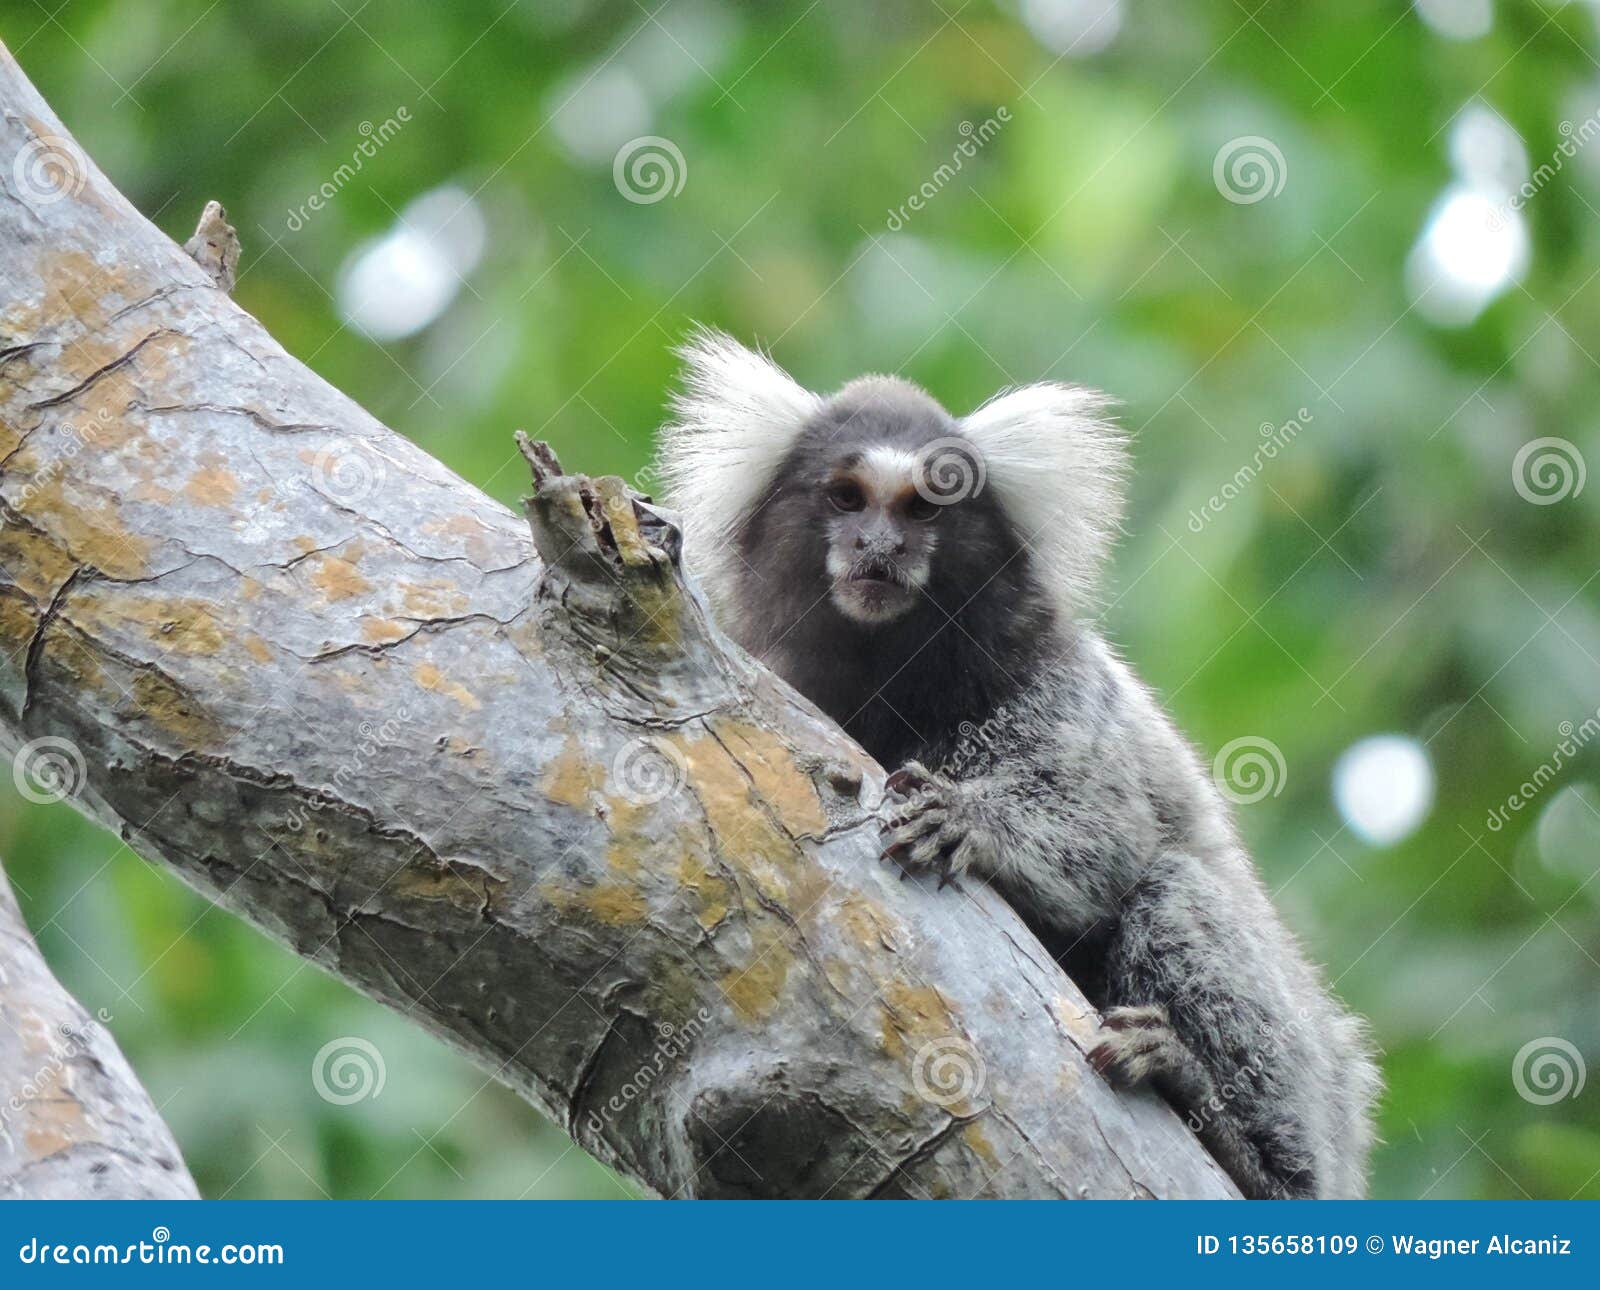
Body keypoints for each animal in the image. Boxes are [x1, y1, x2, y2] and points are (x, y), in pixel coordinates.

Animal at [649, 328, 1376, 1197]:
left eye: (923, 506)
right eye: (847, 499)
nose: (879, 551)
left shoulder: (1050, 679)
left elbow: (1107, 833)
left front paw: (966, 819)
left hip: (1316, 1082)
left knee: (1175, 890)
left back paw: (1232, 1129)